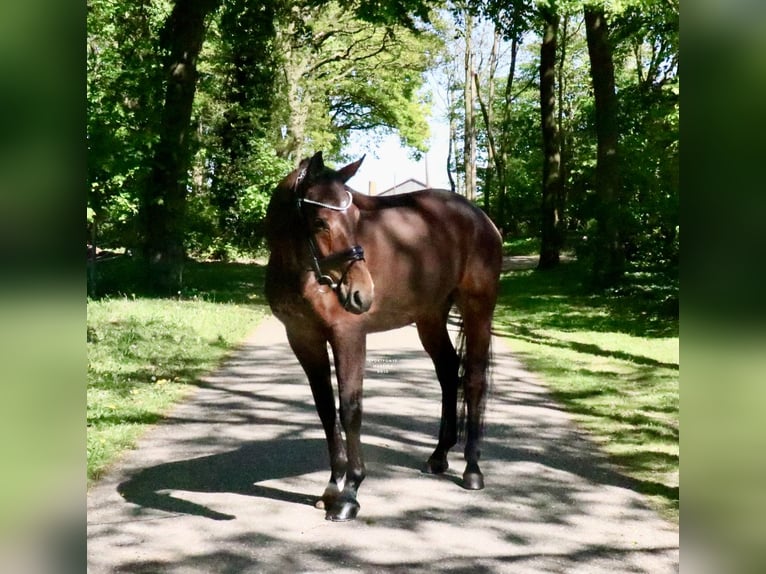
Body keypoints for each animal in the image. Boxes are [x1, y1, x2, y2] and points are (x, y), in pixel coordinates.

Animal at [264, 151, 503, 521]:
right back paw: (439, 455)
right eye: (319, 222)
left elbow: (350, 408)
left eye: (355, 218)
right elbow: (325, 409)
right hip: (430, 317)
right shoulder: (303, 339)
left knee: (474, 379)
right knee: (449, 373)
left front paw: (350, 493)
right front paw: (331, 488)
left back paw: (472, 469)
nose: (362, 294)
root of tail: (480, 218)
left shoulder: (348, 336)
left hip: (478, 308)